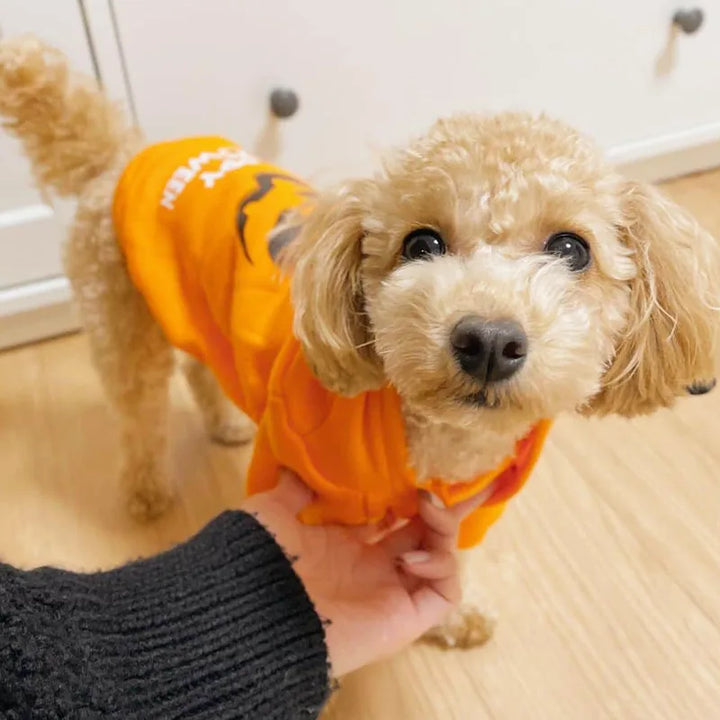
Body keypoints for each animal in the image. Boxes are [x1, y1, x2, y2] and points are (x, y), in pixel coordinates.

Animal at [2, 36, 716, 648]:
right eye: (421, 243)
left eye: (572, 249)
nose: (486, 339)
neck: (433, 442)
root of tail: (122, 156)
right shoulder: (288, 474)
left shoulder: (463, 515)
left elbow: (443, 565)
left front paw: (452, 619)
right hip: (120, 317)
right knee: (139, 410)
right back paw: (147, 492)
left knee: (199, 369)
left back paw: (223, 425)